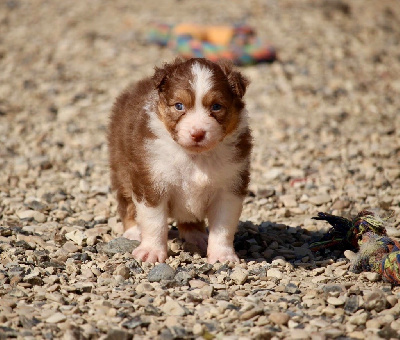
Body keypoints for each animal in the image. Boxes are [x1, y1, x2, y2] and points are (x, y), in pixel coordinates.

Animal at [108, 57, 252, 262]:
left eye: (216, 106)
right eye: (179, 106)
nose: (198, 133)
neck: (195, 157)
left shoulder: (229, 187)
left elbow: (223, 227)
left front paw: (222, 256)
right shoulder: (151, 182)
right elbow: (154, 222)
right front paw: (151, 251)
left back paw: (197, 236)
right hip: (121, 166)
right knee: (126, 202)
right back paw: (133, 232)